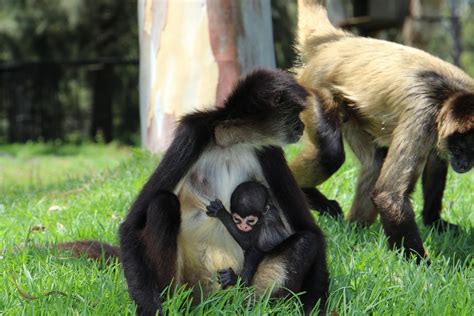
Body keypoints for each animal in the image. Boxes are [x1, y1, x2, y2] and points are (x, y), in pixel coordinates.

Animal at [118, 69, 334, 316]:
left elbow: (309, 230)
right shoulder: (194, 134)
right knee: (163, 203)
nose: (301, 126)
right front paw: (150, 309)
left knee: (306, 242)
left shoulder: (268, 151)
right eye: (295, 113)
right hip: (189, 285)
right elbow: (132, 225)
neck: (233, 141)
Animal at [292, 0, 474, 262]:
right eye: (459, 149)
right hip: (315, 89)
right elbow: (389, 195)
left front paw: (434, 221)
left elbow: (435, 161)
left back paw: (354, 229)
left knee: (374, 161)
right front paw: (422, 264)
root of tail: (340, 42)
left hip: (353, 111)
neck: (451, 94)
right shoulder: (424, 115)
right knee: (330, 154)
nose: (463, 164)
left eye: (472, 151)